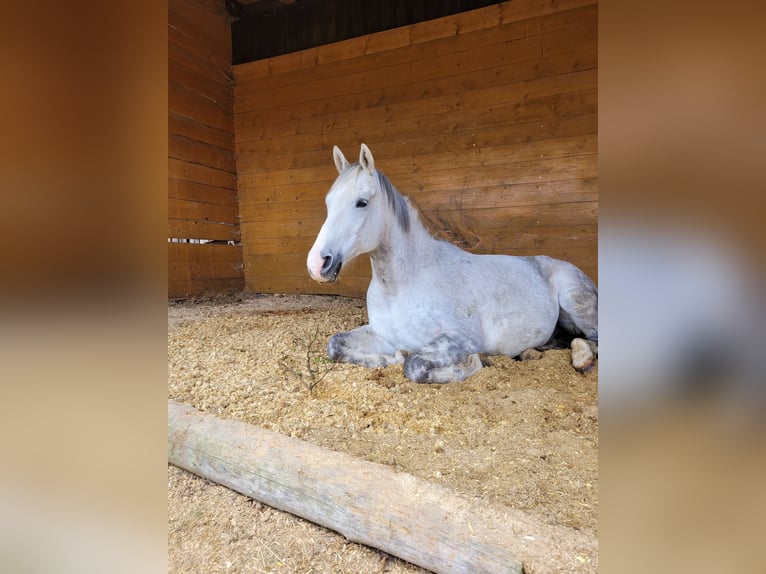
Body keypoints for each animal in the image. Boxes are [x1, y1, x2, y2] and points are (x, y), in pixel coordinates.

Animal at [308, 144, 600, 384]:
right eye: (328, 202)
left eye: (362, 202)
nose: (317, 263)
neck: (402, 286)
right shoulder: (382, 335)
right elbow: (335, 345)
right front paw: (387, 359)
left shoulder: (460, 340)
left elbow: (414, 365)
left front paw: (473, 364)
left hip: (576, 302)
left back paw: (583, 360)